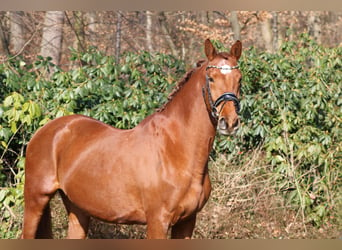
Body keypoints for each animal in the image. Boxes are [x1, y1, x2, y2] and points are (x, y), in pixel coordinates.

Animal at [21, 39, 242, 238]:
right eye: (211, 78)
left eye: (239, 79)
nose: (229, 122)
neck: (175, 149)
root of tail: (47, 130)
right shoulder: (158, 221)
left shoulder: (187, 222)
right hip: (35, 200)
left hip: (77, 208)